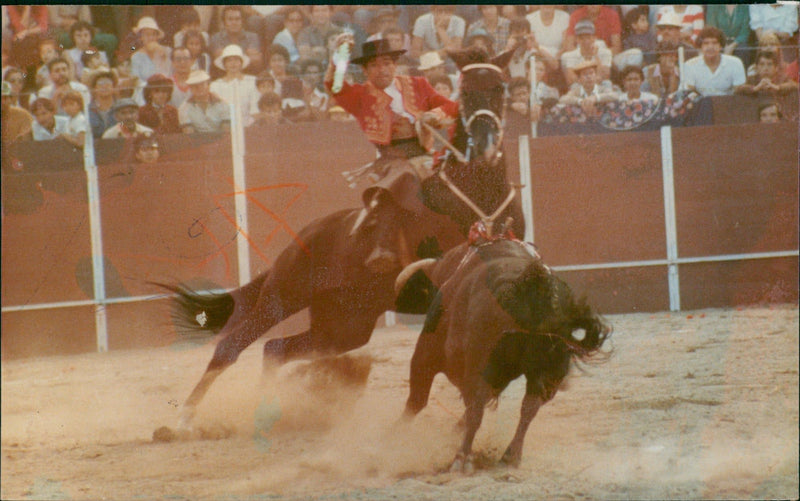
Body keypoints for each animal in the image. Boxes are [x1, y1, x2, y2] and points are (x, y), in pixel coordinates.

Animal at [400, 236, 612, 470]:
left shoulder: (426, 354)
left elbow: (417, 402)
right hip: (548, 370)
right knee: (529, 406)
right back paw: (511, 455)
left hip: (479, 363)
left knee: (475, 409)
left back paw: (462, 458)